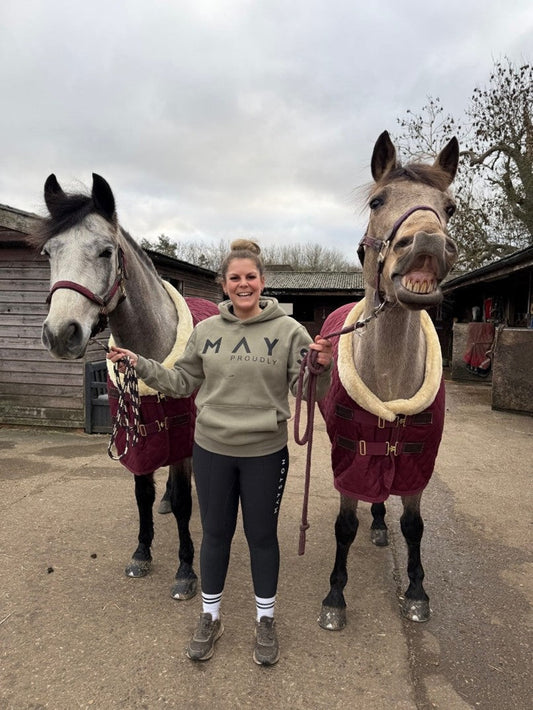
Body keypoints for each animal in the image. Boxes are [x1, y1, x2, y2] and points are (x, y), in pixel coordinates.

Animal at [29, 173, 218, 601]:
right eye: (49, 253)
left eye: (105, 251)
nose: (60, 334)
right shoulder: (139, 434)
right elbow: (142, 494)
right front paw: (142, 552)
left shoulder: (181, 432)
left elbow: (185, 501)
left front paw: (185, 570)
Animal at [317, 130, 459, 630]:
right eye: (378, 200)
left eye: (449, 207)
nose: (428, 244)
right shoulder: (349, 453)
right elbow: (345, 524)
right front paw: (335, 598)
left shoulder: (418, 459)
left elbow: (413, 525)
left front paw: (417, 592)